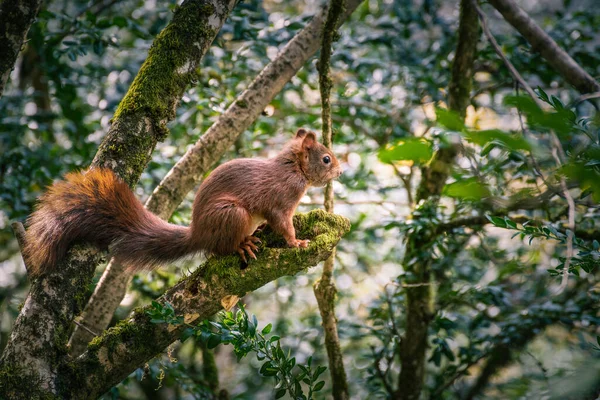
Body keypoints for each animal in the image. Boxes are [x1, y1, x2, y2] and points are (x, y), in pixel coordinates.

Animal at [23, 130, 342, 276]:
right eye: (326, 159)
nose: (340, 172)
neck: (294, 168)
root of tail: (197, 233)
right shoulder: (281, 199)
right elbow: (282, 223)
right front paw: (296, 242)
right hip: (233, 214)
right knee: (219, 249)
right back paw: (242, 245)